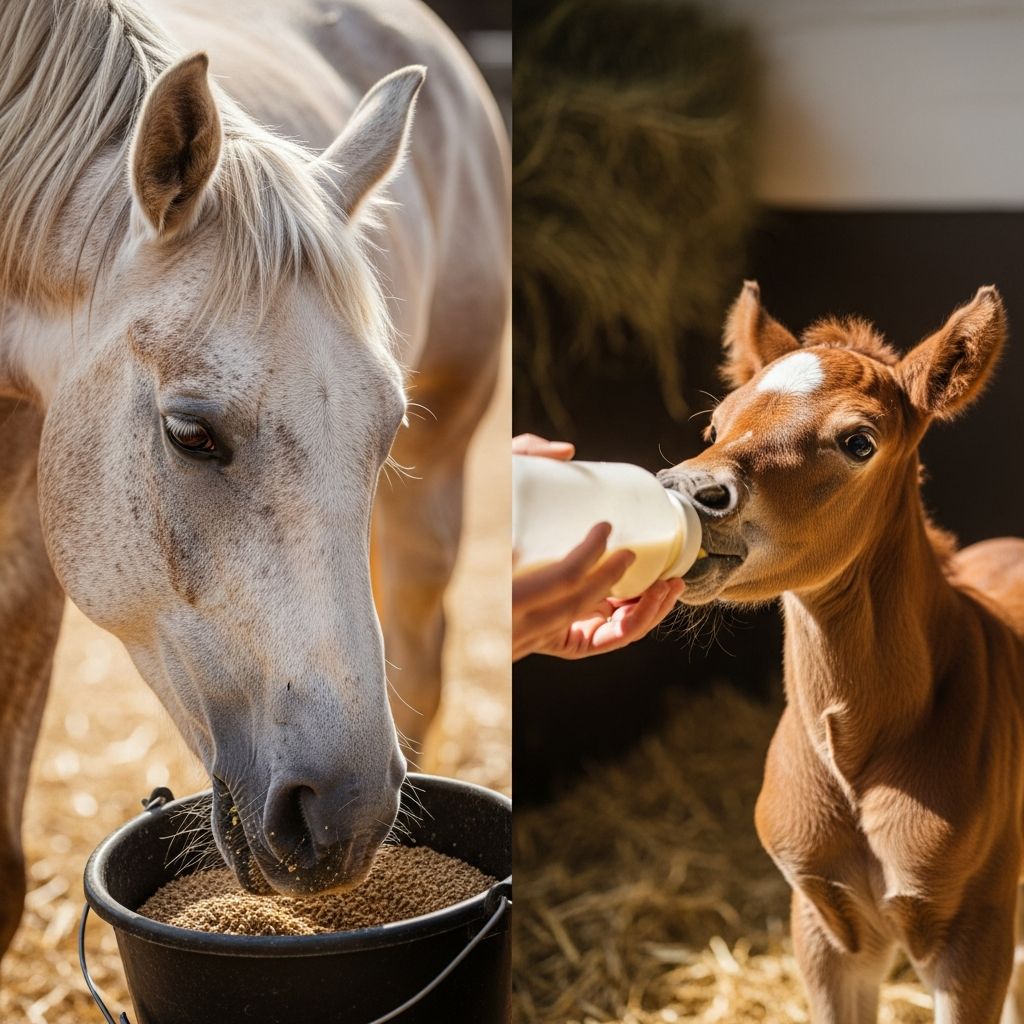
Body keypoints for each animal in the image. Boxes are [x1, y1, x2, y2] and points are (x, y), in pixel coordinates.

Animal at [661, 282, 1024, 1023]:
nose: (690, 492)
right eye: (717, 428)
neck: (857, 755)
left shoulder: (976, 933)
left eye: (859, 442)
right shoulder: (825, 925)